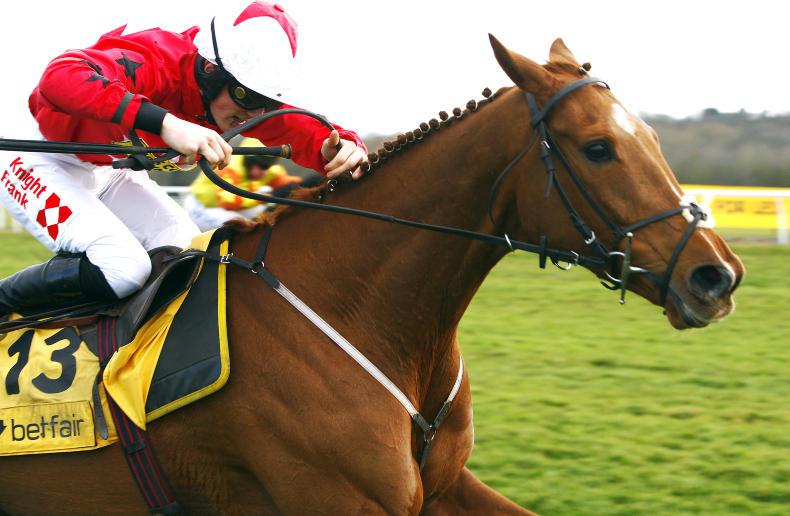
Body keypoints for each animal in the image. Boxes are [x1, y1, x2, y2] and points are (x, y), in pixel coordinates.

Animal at [0, 36, 744, 514]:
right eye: (598, 148)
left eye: (651, 138)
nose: (717, 276)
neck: (359, 315)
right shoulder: (343, 498)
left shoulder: (442, 488)